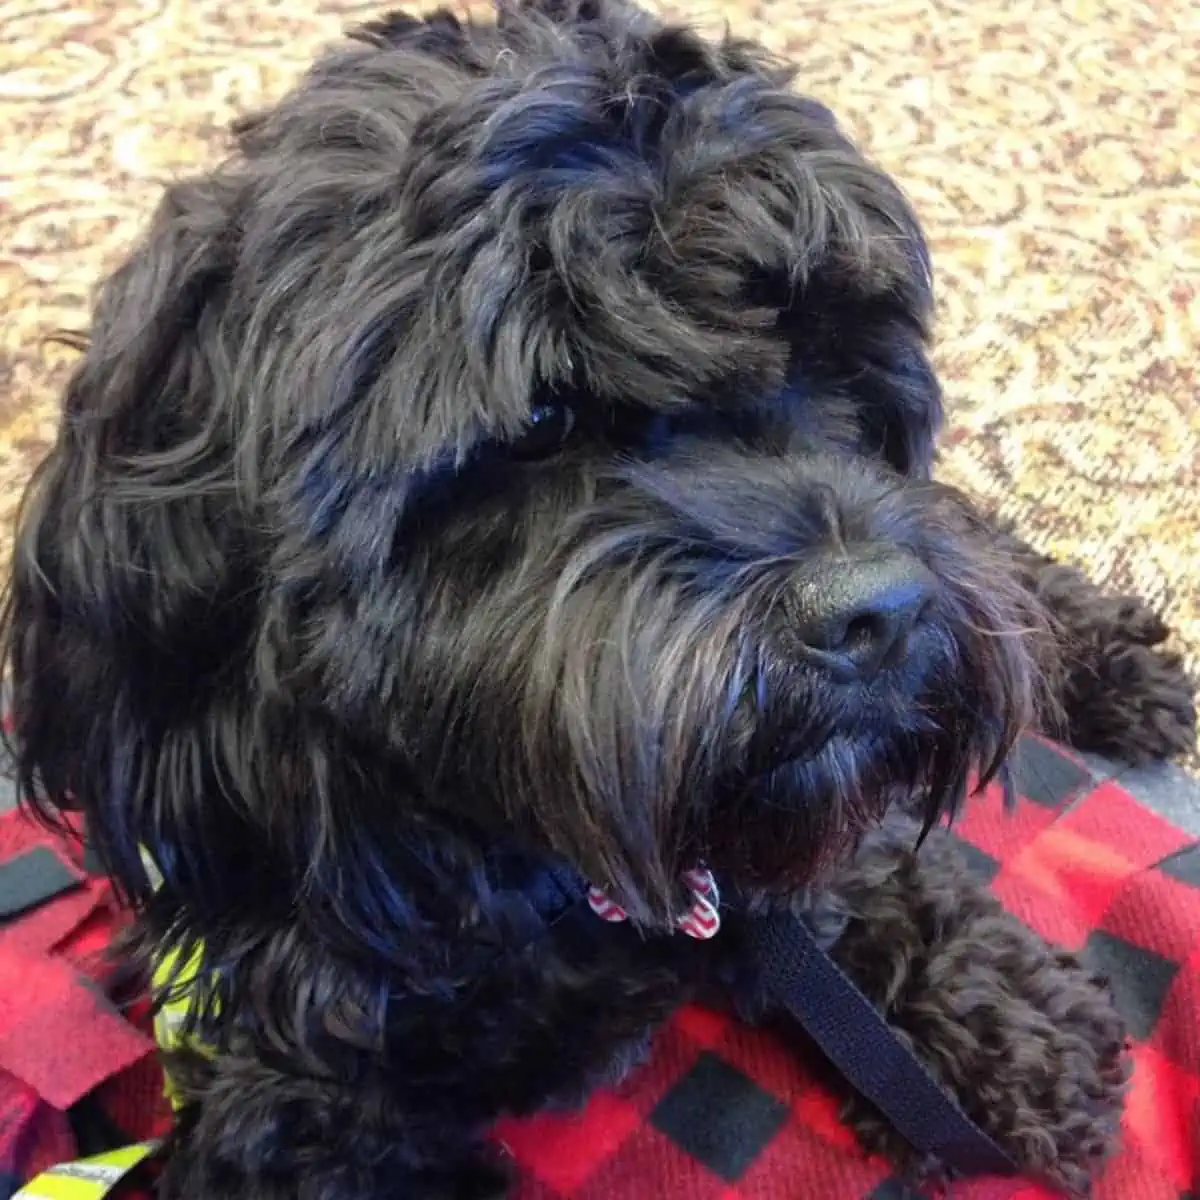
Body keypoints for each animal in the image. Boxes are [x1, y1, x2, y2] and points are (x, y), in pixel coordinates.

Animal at [4, 2, 1195, 1200]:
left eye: (823, 358)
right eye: (540, 422)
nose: (878, 612)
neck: (546, 865)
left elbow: (844, 870)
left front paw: (997, 1023)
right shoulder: (293, 1089)